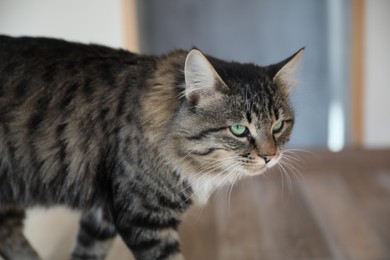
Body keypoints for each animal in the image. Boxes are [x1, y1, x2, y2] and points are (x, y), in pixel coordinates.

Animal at [0, 36, 302, 260]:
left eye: (278, 126)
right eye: (239, 130)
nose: (270, 156)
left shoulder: (102, 215)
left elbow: (86, 252)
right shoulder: (143, 218)